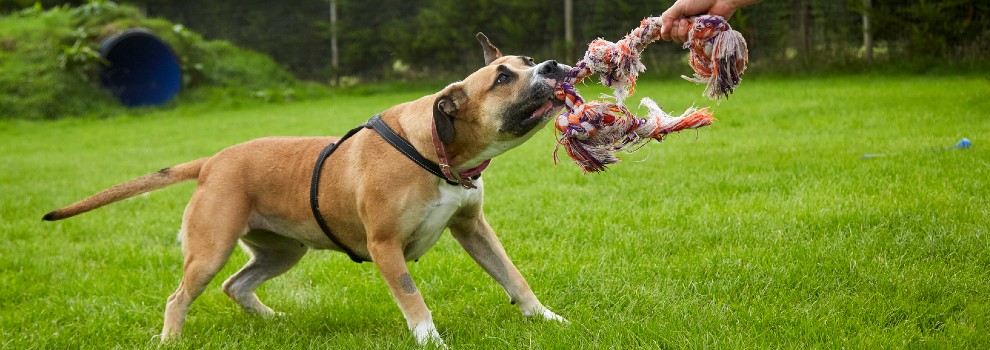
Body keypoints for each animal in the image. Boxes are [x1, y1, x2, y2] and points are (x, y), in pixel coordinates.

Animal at [42, 33, 568, 348]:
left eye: (526, 61)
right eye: (502, 78)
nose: (553, 65)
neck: (438, 151)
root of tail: (212, 161)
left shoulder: (473, 228)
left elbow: (513, 277)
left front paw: (546, 318)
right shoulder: (385, 247)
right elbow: (413, 297)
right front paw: (430, 339)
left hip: (281, 251)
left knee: (237, 284)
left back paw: (271, 319)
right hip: (210, 250)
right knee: (180, 296)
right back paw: (172, 338)